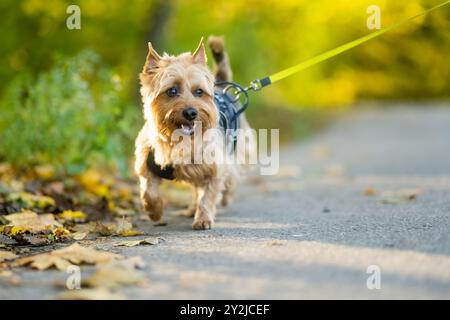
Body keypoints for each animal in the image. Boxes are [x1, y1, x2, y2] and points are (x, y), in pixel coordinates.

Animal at [134, 36, 253, 229]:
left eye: (199, 92)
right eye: (172, 91)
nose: (191, 113)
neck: (178, 140)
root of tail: (224, 90)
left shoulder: (214, 168)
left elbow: (208, 196)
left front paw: (203, 219)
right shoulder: (147, 164)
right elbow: (148, 191)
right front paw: (154, 211)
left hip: (238, 148)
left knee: (232, 176)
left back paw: (225, 197)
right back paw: (191, 209)